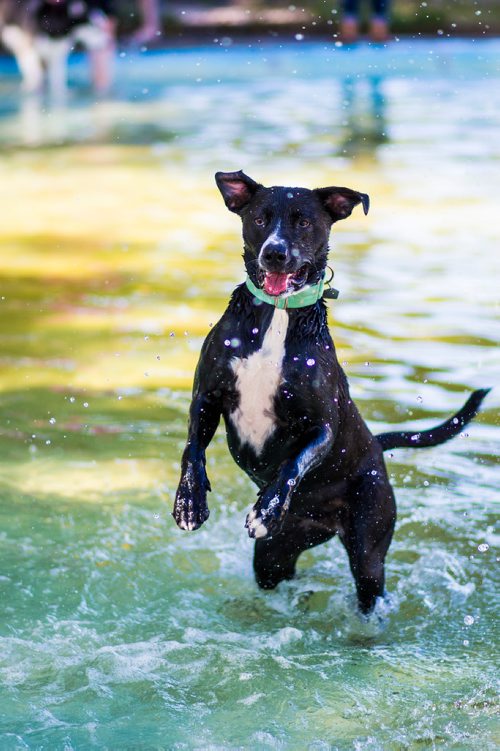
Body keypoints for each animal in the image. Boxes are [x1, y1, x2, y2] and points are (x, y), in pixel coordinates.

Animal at [173, 172, 488, 616]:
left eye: (304, 222)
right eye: (259, 218)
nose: (275, 253)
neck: (279, 315)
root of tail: (375, 445)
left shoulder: (321, 424)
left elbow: (294, 463)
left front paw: (267, 507)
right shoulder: (208, 397)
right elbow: (192, 449)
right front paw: (189, 501)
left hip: (369, 545)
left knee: (371, 585)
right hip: (274, 555)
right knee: (279, 574)